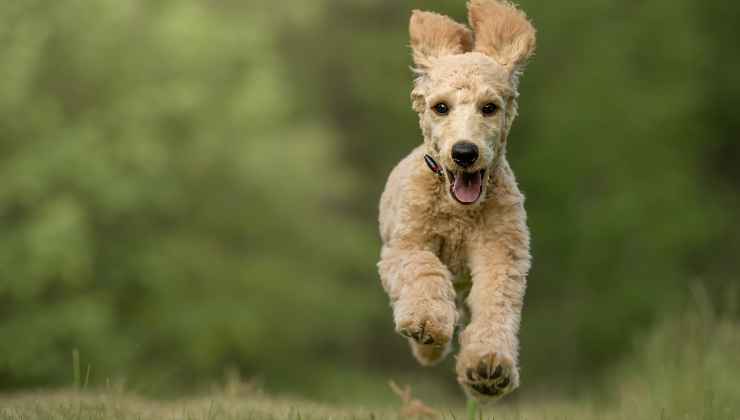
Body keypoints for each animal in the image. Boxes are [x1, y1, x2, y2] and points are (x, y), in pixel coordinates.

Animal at [378, 0, 536, 400]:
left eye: (489, 107)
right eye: (441, 107)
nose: (465, 152)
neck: (459, 214)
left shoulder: (501, 254)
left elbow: (496, 305)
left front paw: (488, 366)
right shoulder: (405, 246)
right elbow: (423, 270)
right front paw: (427, 323)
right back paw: (428, 347)